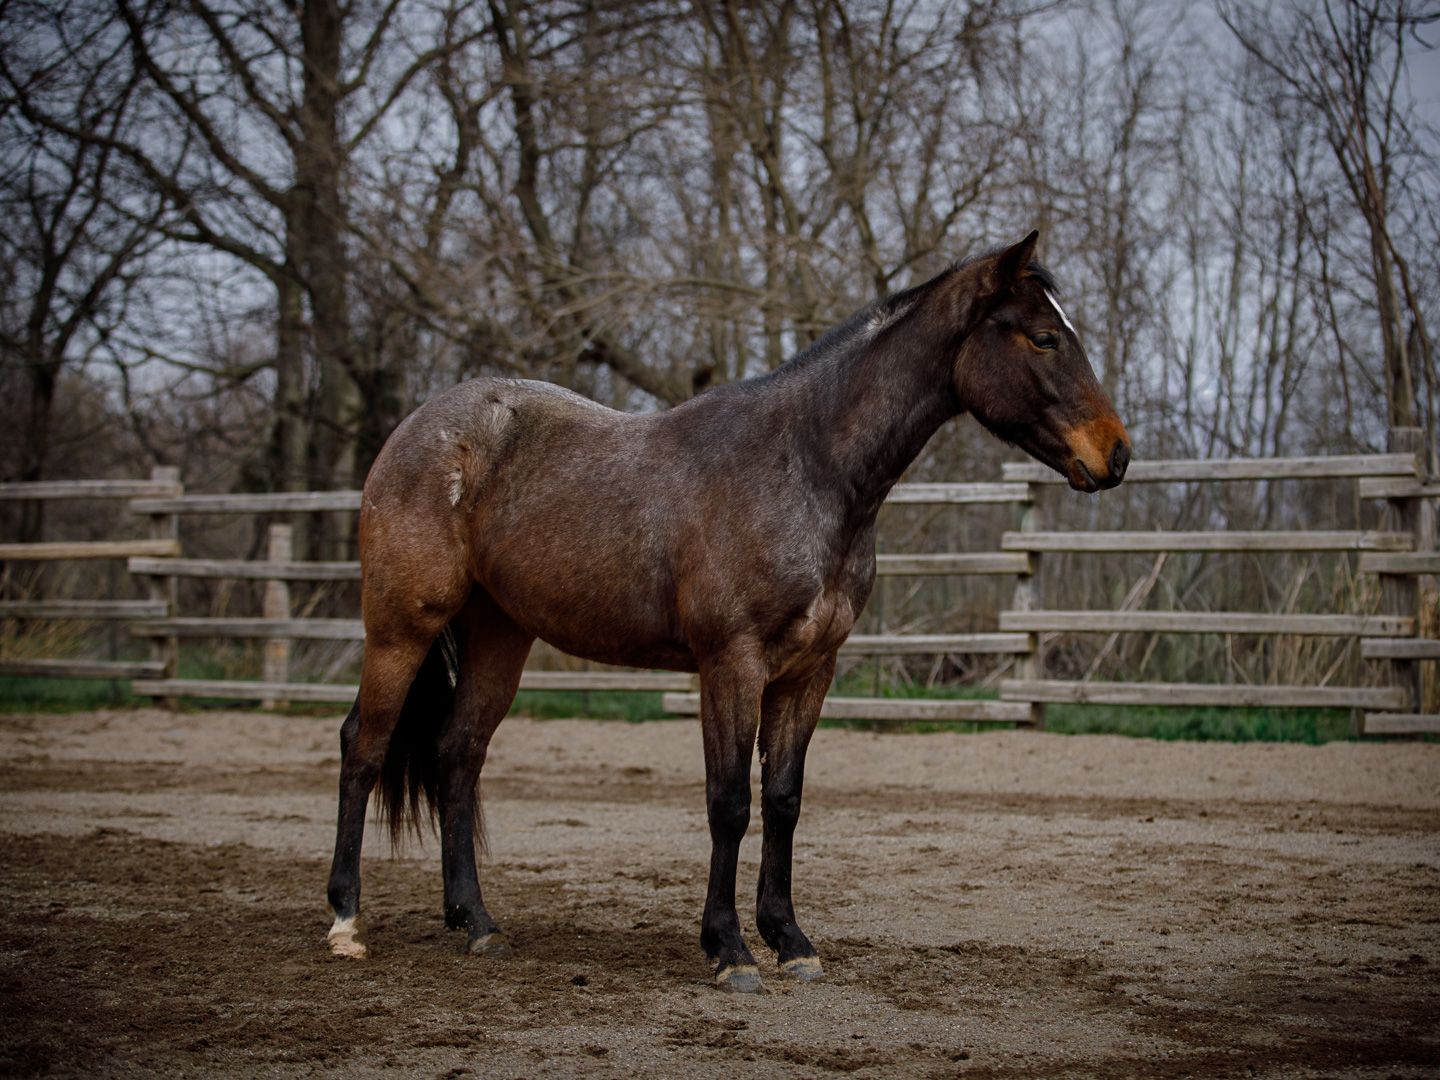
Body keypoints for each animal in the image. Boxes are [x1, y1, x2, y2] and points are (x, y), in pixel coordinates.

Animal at [324, 230, 1130, 993]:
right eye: (1043, 337)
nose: (1116, 455)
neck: (804, 468)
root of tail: (420, 430)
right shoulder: (731, 663)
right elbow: (729, 803)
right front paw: (730, 950)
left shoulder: (809, 671)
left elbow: (782, 800)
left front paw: (791, 940)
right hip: (400, 627)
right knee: (364, 746)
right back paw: (345, 922)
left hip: (499, 633)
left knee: (457, 754)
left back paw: (476, 921)